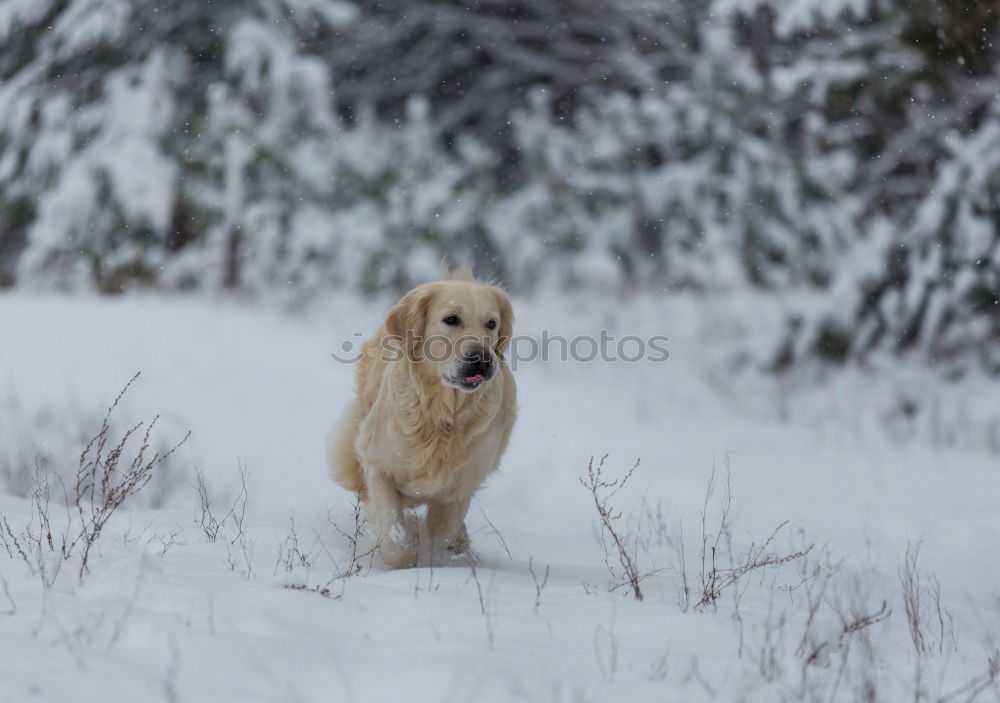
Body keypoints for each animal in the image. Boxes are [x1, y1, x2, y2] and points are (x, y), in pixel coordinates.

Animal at [328, 266, 520, 568]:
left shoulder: (457, 491)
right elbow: (394, 537)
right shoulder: (379, 466)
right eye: (451, 319)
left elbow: (437, 544)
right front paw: (403, 561)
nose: (482, 359)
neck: (442, 414)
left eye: (491, 323)